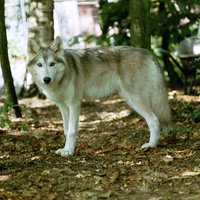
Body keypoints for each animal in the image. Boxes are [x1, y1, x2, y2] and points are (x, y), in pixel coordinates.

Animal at [26, 36, 170, 157]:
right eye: (39, 65)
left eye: (52, 64)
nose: (46, 79)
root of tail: (147, 52)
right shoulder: (63, 107)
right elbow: (66, 130)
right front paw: (65, 149)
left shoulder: (74, 104)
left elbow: (72, 131)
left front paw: (69, 151)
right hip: (130, 99)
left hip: (135, 99)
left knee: (155, 121)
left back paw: (150, 146)